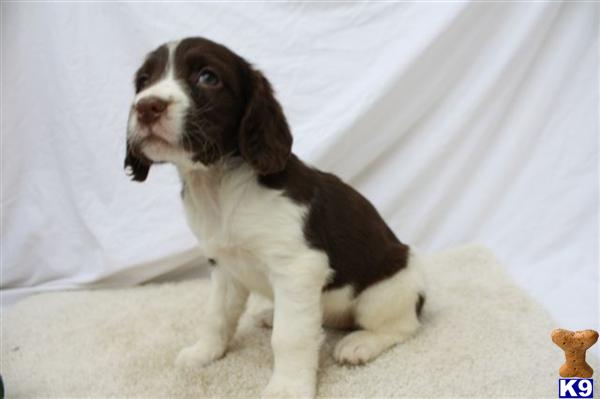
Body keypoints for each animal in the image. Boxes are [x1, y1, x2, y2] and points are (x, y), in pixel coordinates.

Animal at [125, 37, 426, 399]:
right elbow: (216, 316)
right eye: (144, 81)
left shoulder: (298, 267)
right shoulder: (224, 267)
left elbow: (290, 337)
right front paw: (204, 353)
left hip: (385, 290)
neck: (220, 187)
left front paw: (287, 387)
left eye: (208, 77)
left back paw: (361, 344)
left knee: (402, 325)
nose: (146, 106)